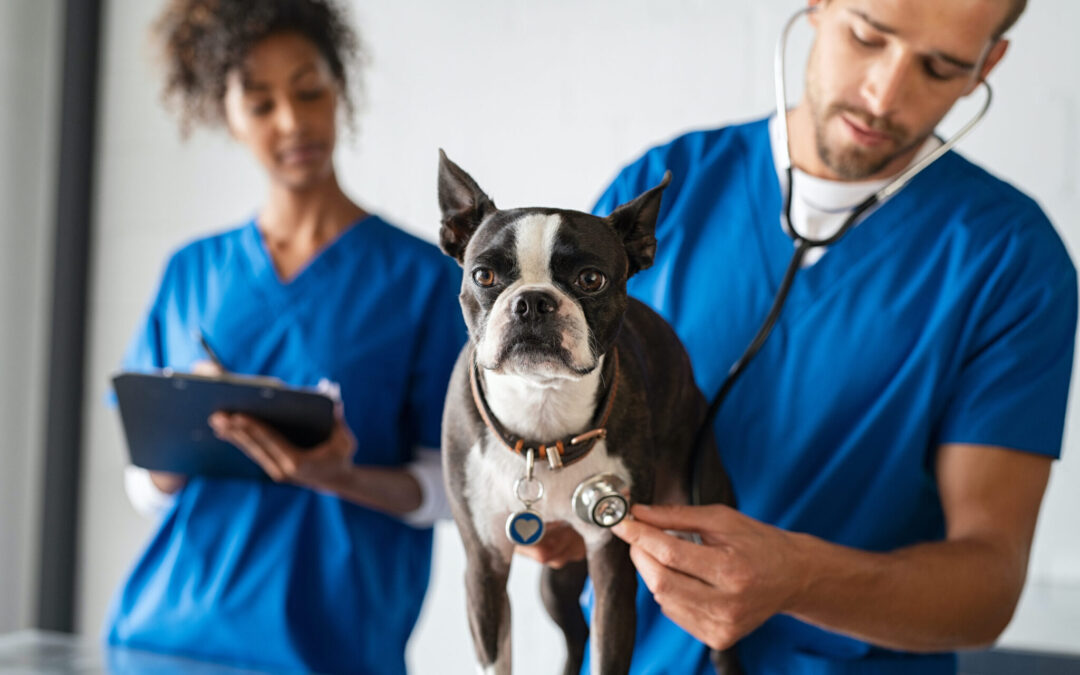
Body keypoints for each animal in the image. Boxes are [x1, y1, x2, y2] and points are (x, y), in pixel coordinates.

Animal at [436, 152, 734, 673]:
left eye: (590, 279)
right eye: (483, 276)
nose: (532, 302)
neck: (542, 418)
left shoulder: (612, 562)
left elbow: (609, 651)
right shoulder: (485, 565)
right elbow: (496, 656)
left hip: (699, 513)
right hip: (555, 581)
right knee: (574, 633)